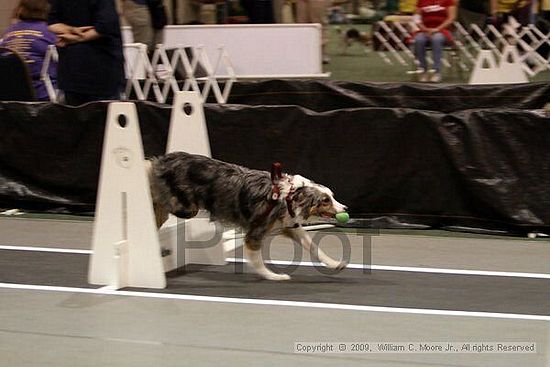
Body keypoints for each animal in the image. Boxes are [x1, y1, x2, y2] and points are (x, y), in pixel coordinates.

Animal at [148, 152, 350, 282]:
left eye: (332, 196)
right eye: (325, 201)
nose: (345, 208)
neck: (289, 196)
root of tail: (164, 160)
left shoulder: (289, 226)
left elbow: (314, 247)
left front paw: (334, 264)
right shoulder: (255, 232)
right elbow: (257, 260)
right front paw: (273, 276)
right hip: (186, 207)